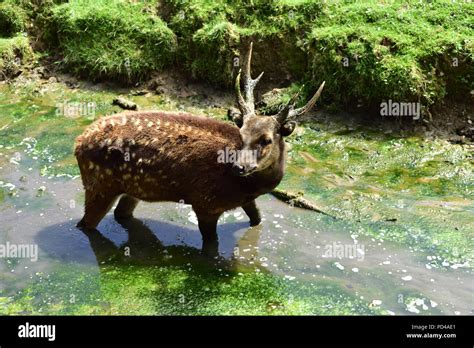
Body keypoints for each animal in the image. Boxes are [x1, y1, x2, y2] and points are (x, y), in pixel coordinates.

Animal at [75, 43, 326, 254]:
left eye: (266, 140)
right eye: (241, 134)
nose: (238, 167)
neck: (245, 188)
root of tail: (78, 143)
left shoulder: (247, 201)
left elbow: (257, 220)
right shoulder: (205, 202)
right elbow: (211, 247)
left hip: (131, 188)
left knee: (121, 214)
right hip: (100, 184)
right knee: (85, 224)